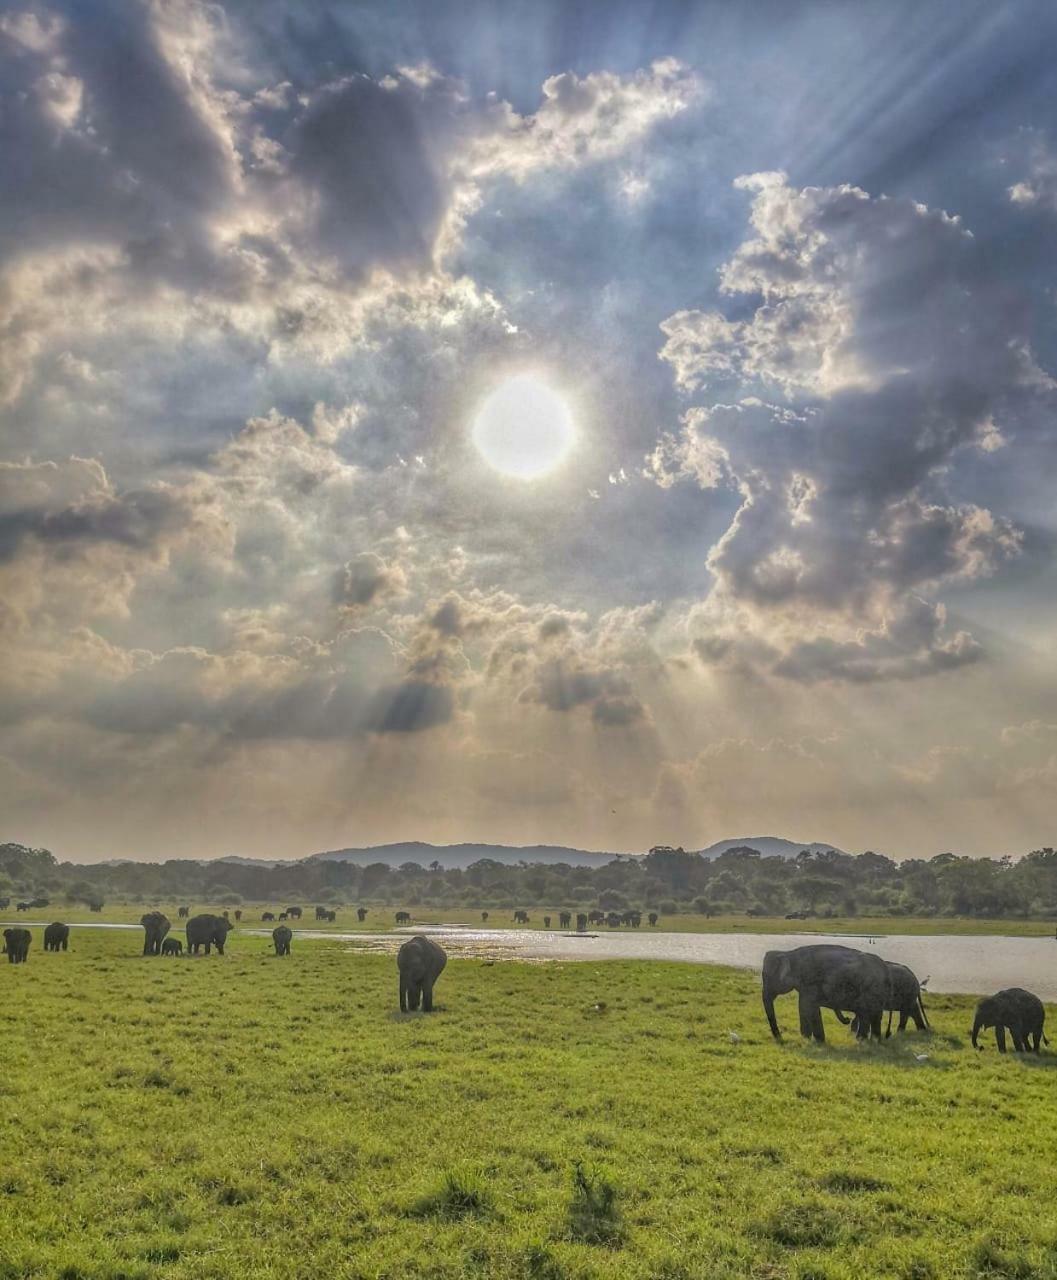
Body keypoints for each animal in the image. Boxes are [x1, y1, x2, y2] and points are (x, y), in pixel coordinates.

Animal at [757, 947, 890, 1044]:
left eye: (766, 977)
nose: (780, 1038)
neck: (789, 953)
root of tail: (884, 966)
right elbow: (812, 1007)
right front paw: (818, 1040)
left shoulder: (809, 983)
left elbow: (804, 1006)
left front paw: (807, 1038)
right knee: (870, 1015)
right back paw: (871, 1040)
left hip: (871, 990)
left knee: (867, 1014)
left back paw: (863, 1040)